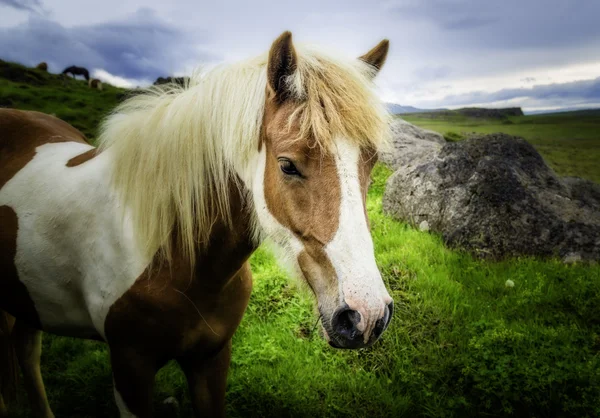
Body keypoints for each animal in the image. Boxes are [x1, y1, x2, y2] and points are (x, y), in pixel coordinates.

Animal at [0, 32, 394, 418]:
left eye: (371, 161)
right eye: (287, 165)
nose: (367, 315)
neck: (174, 258)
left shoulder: (212, 360)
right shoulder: (130, 371)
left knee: (26, 351)